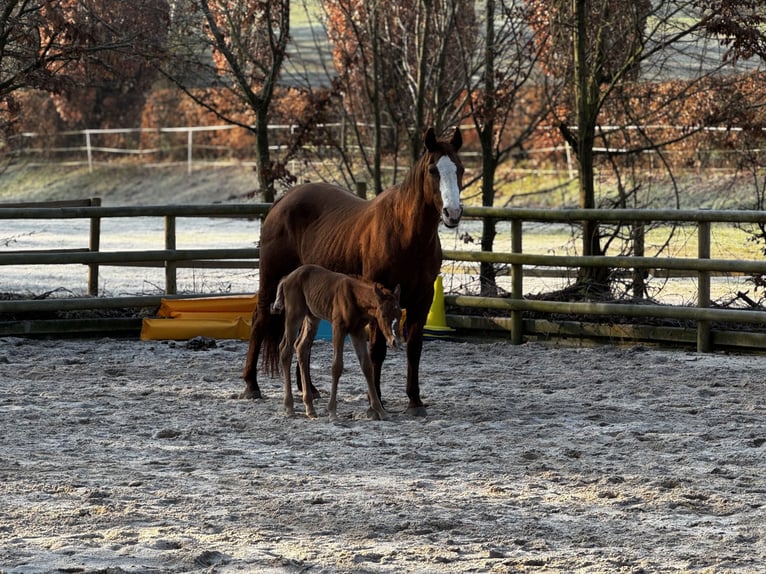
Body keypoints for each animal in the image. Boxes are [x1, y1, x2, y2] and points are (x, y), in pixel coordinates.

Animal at [270, 264, 402, 420]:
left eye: (400, 314)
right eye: (384, 315)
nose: (395, 341)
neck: (355, 297)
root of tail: (286, 278)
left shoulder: (357, 331)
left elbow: (367, 366)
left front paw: (381, 410)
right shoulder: (338, 328)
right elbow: (337, 366)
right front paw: (332, 411)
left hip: (312, 317)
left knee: (301, 347)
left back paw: (310, 408)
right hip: (294, 315)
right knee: (285, 349)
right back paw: (289, 407)